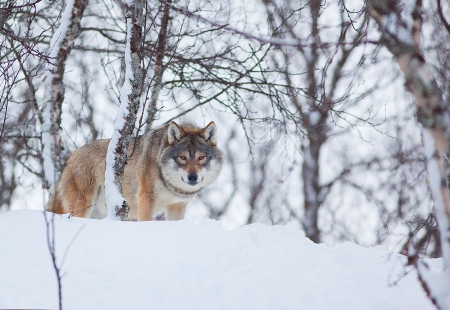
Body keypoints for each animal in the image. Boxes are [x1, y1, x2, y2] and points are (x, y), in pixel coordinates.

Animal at [47, 121, 223, 220]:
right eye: (183, 157)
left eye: (201, 157)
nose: (192, 177)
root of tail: (70, 158)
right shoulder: (146, 198)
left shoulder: (177, 205)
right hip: (83, 206)